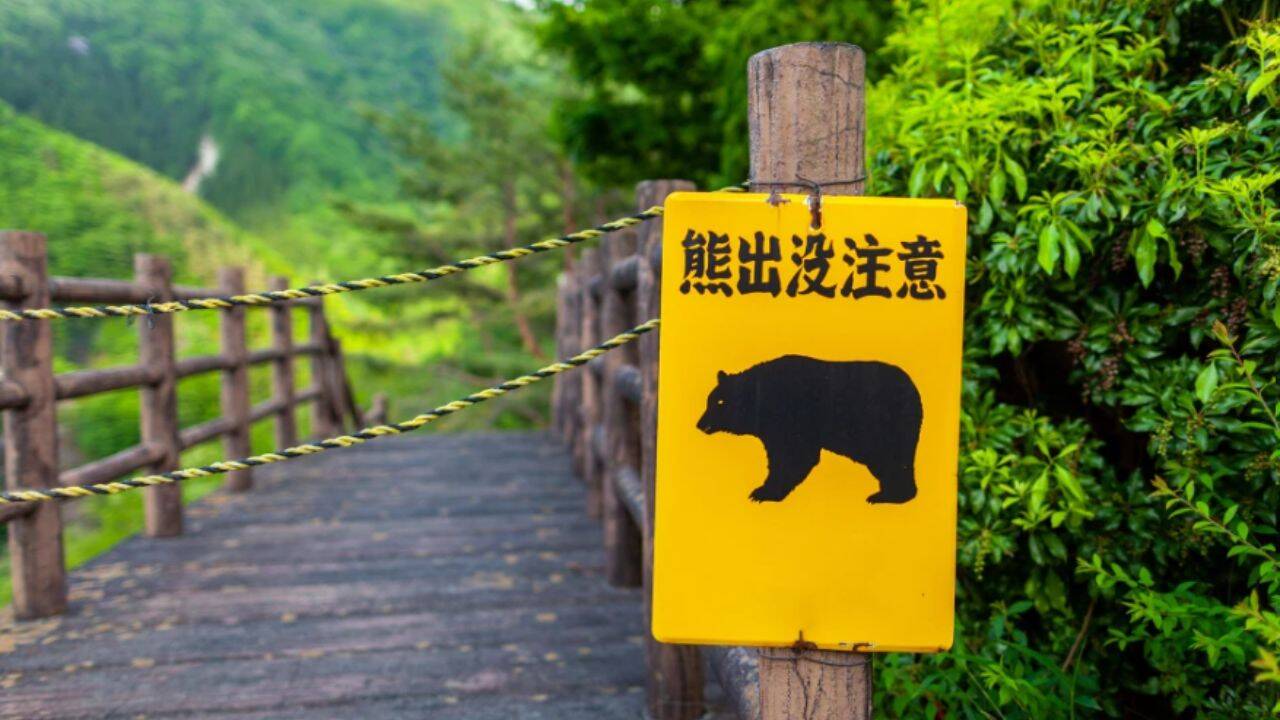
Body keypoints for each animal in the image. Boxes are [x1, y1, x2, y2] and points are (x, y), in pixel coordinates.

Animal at [696, 355, 922, 504]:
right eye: (709, 401)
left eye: (720, 402)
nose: (699, 424)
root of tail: (914, 389)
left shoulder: (793, 420)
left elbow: (794, 456)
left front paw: (763, 492)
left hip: (883, 428)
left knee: (892, 459)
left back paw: (889, 496)